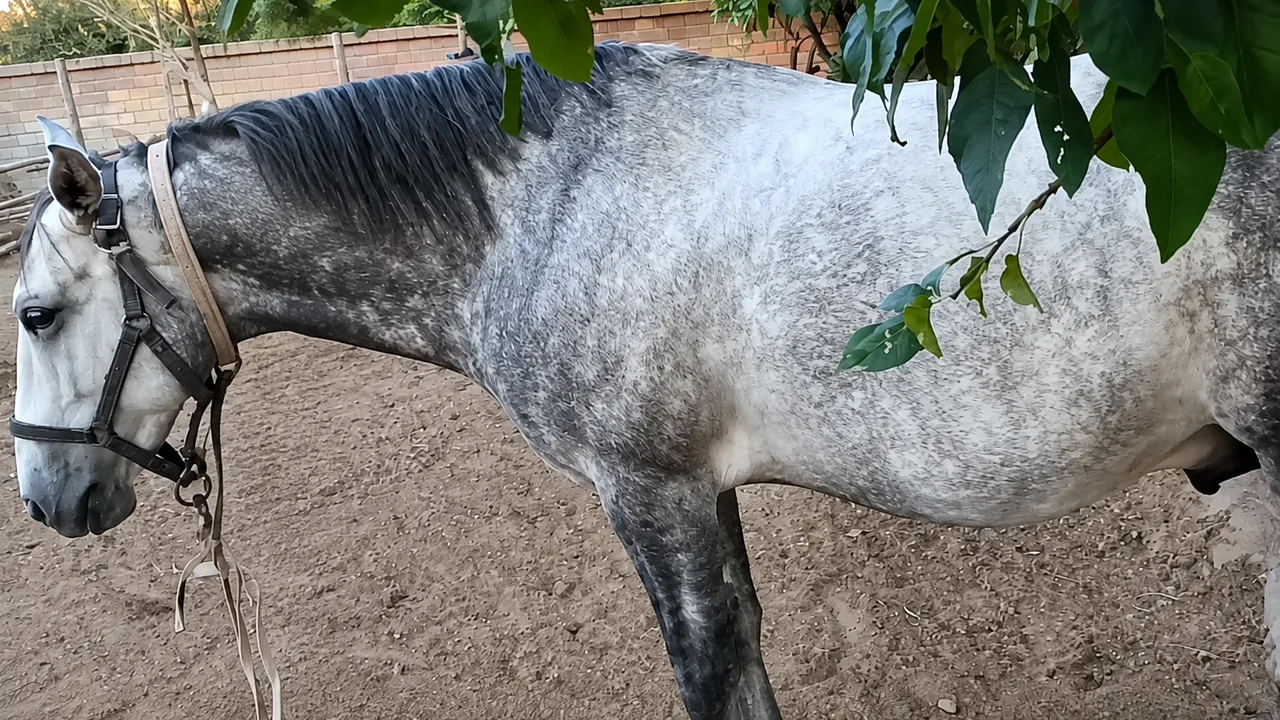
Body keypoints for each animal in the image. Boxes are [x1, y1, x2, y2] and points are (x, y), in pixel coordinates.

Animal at [11, 40, 1280, 719]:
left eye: (36, 314)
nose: (46, 499)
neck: (543, 208)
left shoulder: (649, 492)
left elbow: (708, 671)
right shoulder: (700, 495)